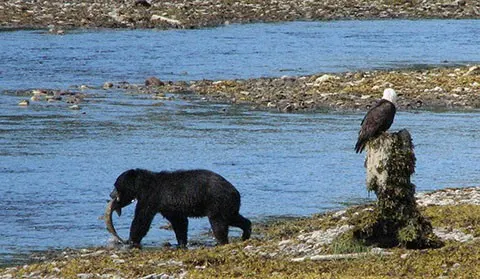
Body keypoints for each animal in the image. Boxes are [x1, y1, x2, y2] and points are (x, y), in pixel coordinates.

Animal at [105, 170, 251, 248]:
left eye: (115, 185)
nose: (110, 195)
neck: (142, 186)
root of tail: (235, 191)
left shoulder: (152, 197)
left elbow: (142, 219)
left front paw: (132, 240)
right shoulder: (169, 206)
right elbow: (179, 222)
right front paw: (181, 242)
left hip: (216, 203)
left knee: (218, 224)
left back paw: (222, 241)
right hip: (227, 205)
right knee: (234, 218)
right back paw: (245, 233)